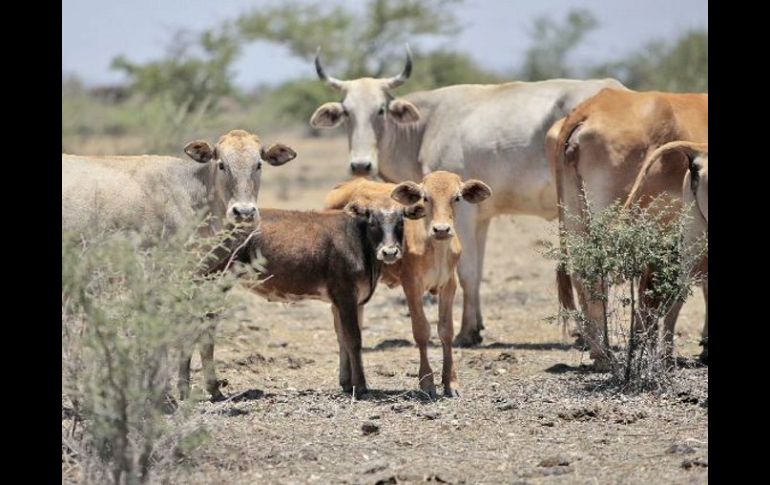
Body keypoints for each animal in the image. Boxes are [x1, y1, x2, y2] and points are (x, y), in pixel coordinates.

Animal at [182, 202, 414, 398]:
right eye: (373, 222)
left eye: (401, 222)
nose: (390, 252)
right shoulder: (346, 295)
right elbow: (354, 339)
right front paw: (362, 386)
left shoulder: (347, 302)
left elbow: (342, 339)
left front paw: (347, 383)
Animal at [306, 45, 624, 346]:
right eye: (346, 112)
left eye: (380, 110)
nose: (361, 165)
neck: (426, 126)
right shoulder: (481, 217)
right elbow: (478, 271)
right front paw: (478, 325)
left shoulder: (465, 214)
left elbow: (467, 272)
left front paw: (467, 332)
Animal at [324, 172, 492, 396]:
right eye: (425, 198)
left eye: (456, 198)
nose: (441, 229)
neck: (435, 250)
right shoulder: (411, 285)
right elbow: (421, 331)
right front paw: (427, 382)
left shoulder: (449, 285)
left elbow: (446, 330)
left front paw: (451, 382)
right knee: (340, 329)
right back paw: (346, 378)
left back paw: (350, 380)